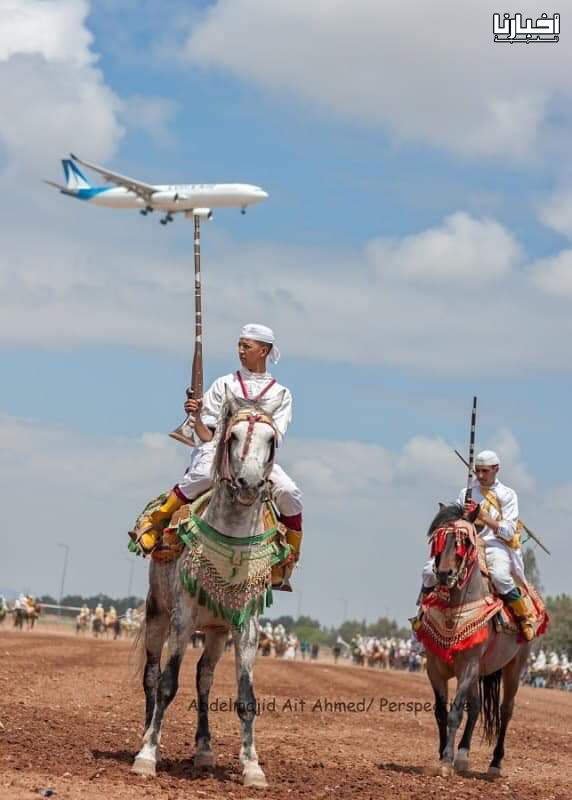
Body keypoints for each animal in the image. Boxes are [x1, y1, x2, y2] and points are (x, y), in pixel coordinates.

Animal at [132, 387, 285, 788]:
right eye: (231, 436)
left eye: (272, 440)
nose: (248, 483)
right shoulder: (182, 619)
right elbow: (167, 684)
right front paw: (147, 755)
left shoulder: (247, 627)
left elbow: (246, 697)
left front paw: (252, 766)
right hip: (158, 614)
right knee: (151, 676)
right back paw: (148, 737)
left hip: (216, 633)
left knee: (204, 678)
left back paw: (203, 750)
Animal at [422, 504, 532, 778]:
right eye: (439, 540)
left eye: (464, 543)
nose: (444, 574)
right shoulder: (434, 668)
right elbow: (441, 712)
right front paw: (444, 754)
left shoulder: (468, 666)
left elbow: (455, 712)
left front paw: (446, 761)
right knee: (476, 707)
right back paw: (463, 755)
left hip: (513, 668)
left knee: (505, 710)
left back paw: (494, 763)